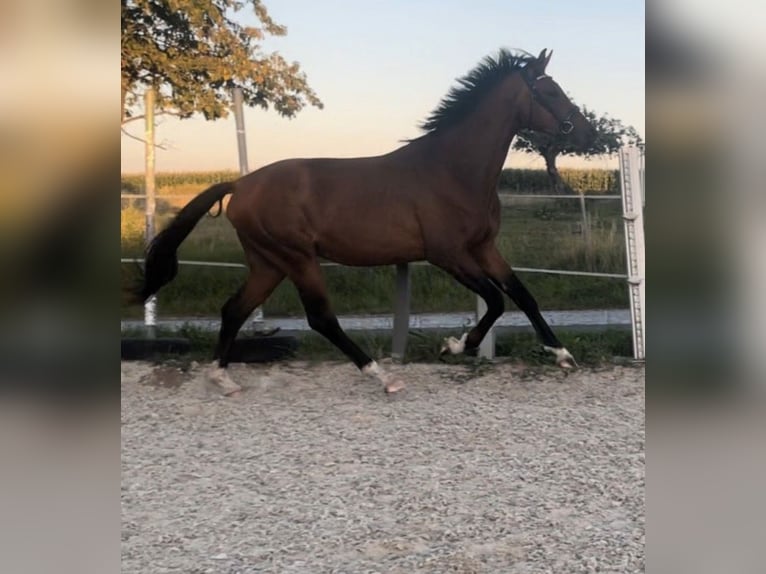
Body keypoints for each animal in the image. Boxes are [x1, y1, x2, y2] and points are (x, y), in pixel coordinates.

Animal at [132, 48, 597, 395]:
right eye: (551, 90)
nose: (588, 133)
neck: (454, 170)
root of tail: (241, 183)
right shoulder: (448, 254)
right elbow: (497, 301)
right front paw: (454, 346)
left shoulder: (484, 248)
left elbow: (522, 294)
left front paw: (561, 355)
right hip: (297, 258)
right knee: (321, 319)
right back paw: (381, 375)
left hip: (268, 263)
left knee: (234, 309)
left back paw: (222, 378)